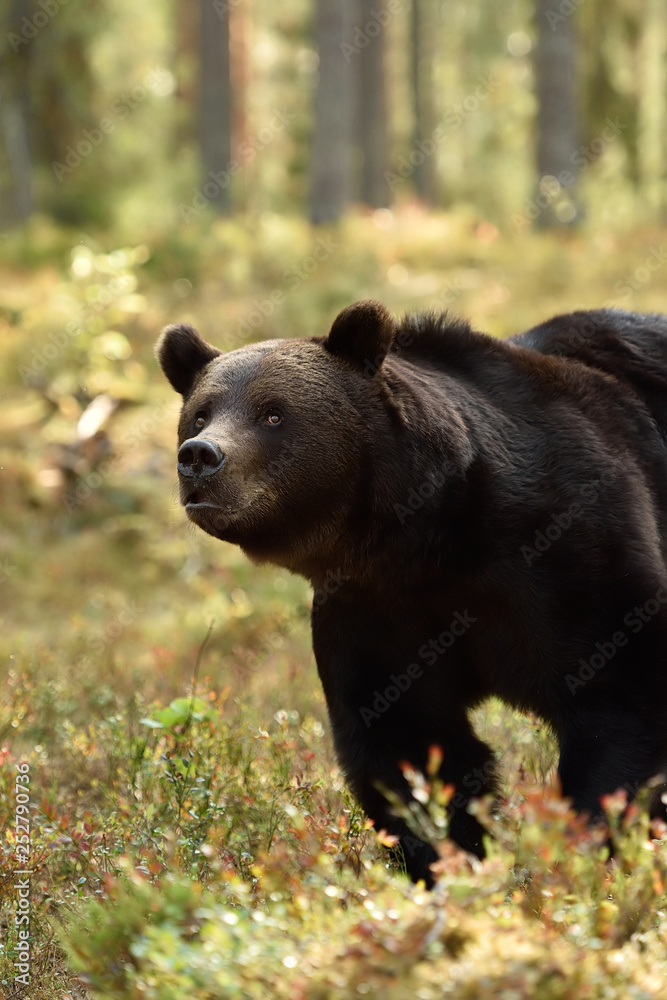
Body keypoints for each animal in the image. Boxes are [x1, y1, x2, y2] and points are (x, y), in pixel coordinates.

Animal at [156, 301, 667, 886]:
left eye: (273, 414)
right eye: (200, 412)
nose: (200, 456)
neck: (428, 538)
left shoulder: (568, 554)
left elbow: (617, 694)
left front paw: (587, 847)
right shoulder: (376, 610)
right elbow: (407, 739)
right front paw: (450, 860)